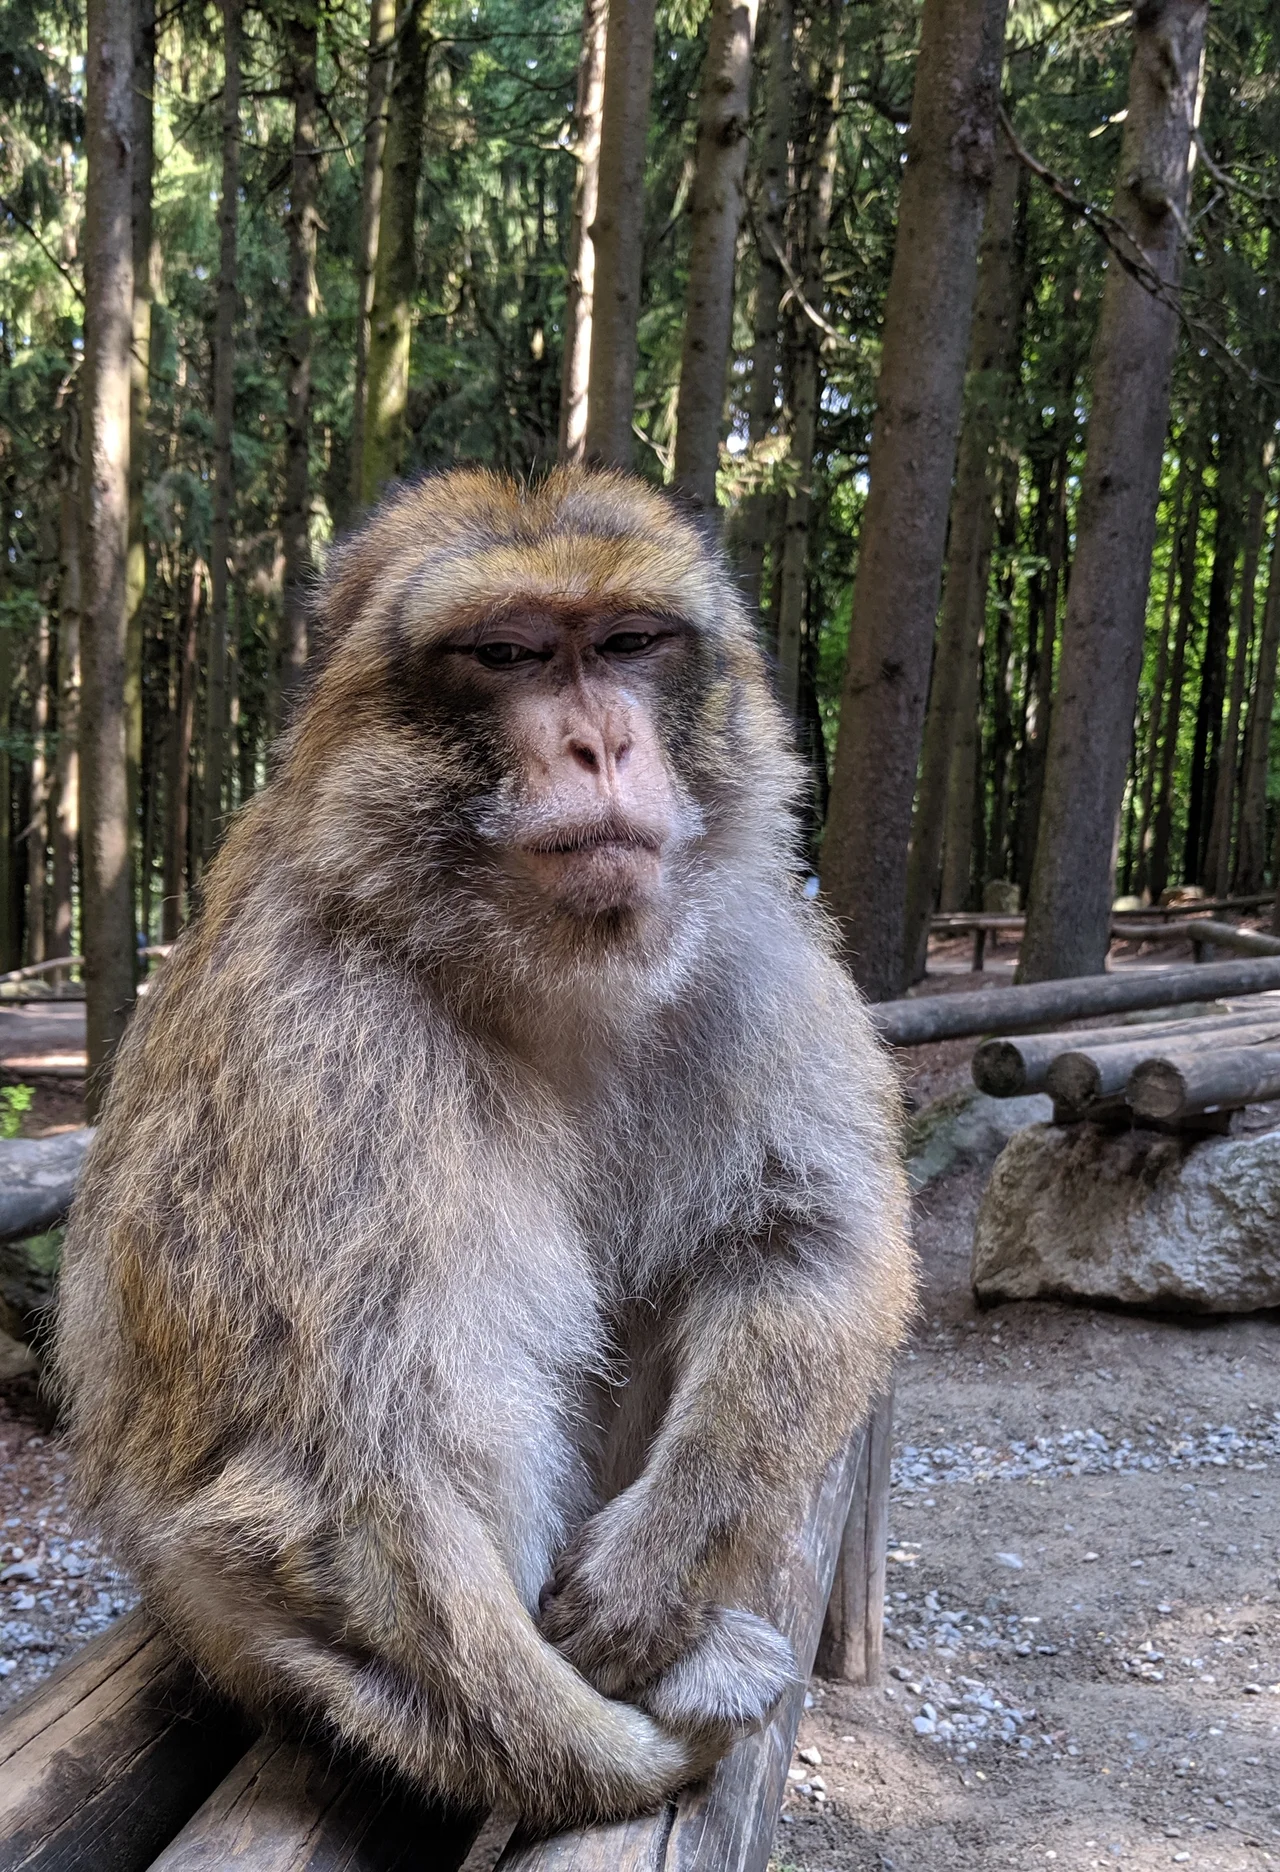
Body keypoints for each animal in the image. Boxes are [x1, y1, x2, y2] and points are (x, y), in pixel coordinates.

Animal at [54, 467, 914, 1833]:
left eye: (627, 644)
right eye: (507, 655)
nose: (600, 744)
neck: (536, 970)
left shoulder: (747, 949)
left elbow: (801, 1237)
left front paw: (651, 1574)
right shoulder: (313, 1044)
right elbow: (340, 1449)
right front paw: (579, 1753)